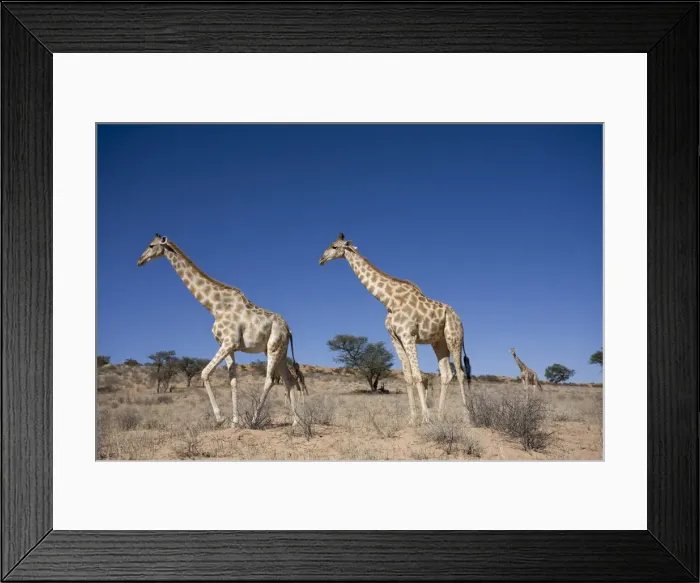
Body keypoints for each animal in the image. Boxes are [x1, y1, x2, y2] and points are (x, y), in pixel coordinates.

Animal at [137, 234, 305, 428]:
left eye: (151, 245)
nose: (140, 261)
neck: (214, 306)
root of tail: (289, 329)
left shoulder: (229, 342)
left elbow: (204, 373)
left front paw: (220, 418)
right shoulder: (228, 346)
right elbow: (233, 381)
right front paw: (234, 422)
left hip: (274, 347)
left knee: (270, 380)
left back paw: (255, 420)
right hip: (280, 351)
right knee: (289, 379)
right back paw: (296, 422)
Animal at [319, 233, 472, 424]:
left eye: (334, 246)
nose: (321, 259)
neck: (389, 301)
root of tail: (459, 319)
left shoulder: (408, 336)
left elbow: (417, 375)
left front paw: (425, 418)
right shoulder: (395, 338)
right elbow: (407, 376)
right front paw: (413, 419)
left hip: (454, 337)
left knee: (460, 372)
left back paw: (466, 417)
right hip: (438, 342)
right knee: (446, 374)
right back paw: (440, 416)